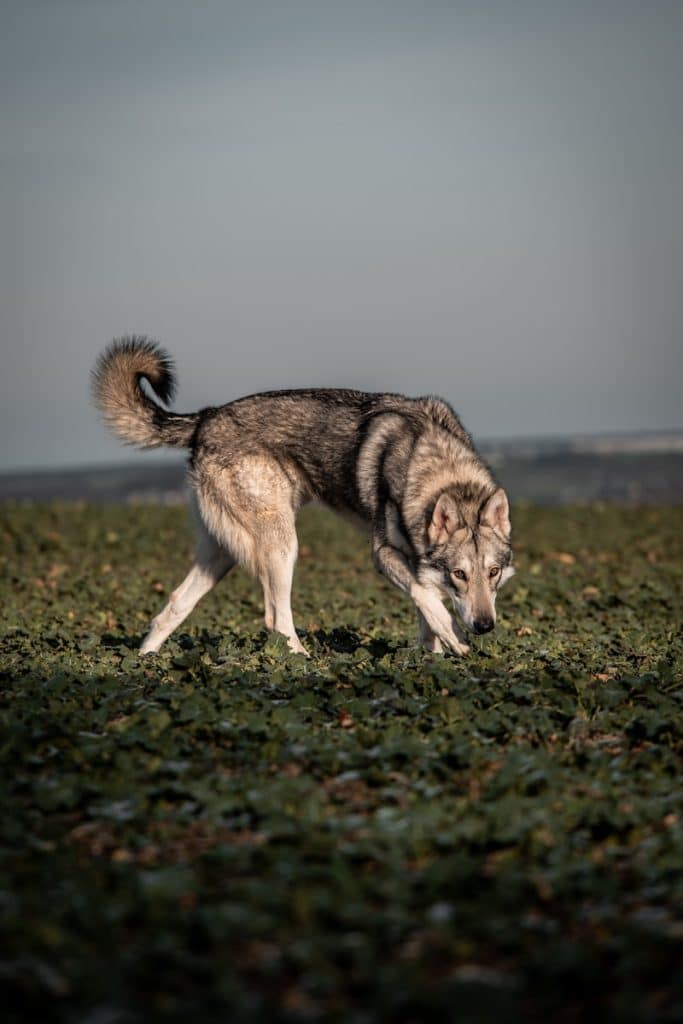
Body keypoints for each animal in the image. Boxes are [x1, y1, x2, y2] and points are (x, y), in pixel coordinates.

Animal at [93, 335, 516, 655]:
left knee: (173, 606)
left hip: (223, 552)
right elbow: (426, 596)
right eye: (460, 574)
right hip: (282, 545)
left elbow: (426, 607)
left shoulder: (417, 560)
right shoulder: (384, 555)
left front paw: (435, 655)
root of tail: (206, 417)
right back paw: (303, 664)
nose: (485, 626)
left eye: (493, 572)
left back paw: (144, 666)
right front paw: (454, 639)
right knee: (275, 619)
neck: (437, 467)